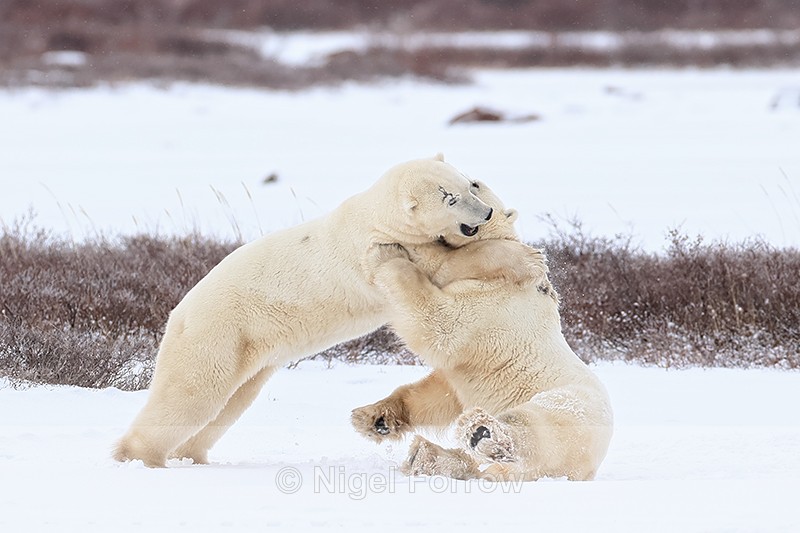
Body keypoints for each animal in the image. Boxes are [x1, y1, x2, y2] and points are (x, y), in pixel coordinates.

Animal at [113, 154, 504, 468]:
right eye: (450, 198)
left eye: (468, 184)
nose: (485, 213)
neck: (372, 216)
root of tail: (177, 312)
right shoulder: (371, 251)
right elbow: (433, 265)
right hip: (217, 332)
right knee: (192, 395)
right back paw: (141, 458)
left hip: (246, 350)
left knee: (230, 403)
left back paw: (192, 456)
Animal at [352, 209, 614, 481]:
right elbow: (440, 395)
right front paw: (374, 418)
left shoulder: (494, 305)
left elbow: (442, 323)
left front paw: (387, 254)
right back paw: (425, 456)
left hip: (571, 407)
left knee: (534, 426)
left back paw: (481, 433)